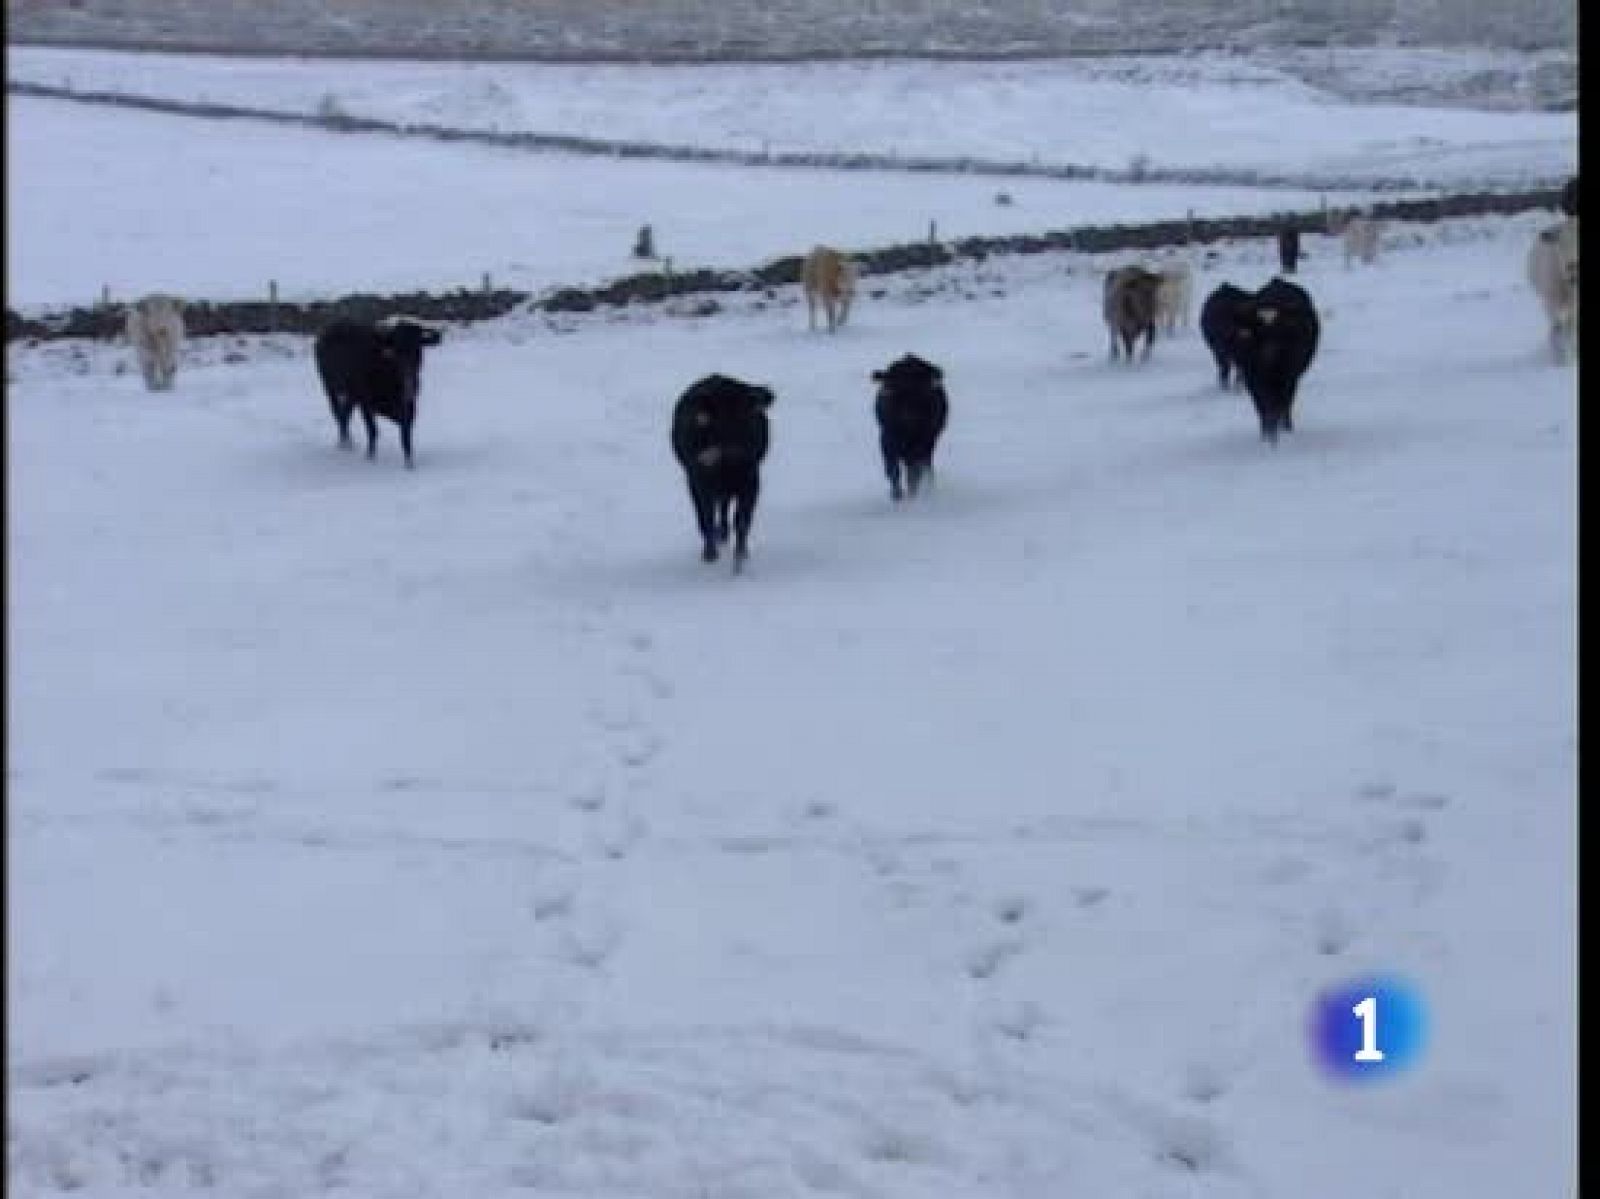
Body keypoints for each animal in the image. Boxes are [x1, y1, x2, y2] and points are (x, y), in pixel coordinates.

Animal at [313, 315, 444, 464]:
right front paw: (370, 457)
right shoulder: (366, 404)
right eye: (396, 349)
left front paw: (409, 463)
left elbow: (405, 435)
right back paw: (344, 443)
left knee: (345, 414)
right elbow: (373, 431)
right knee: (338, 414)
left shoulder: (409, 405)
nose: (409, 375)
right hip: (329, 387)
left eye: (418, 348)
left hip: (351, 395)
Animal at [668, 369, 774, 569]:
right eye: (719, 421)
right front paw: (710, 554)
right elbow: (705, 517)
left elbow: (742, 520)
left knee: (725, 505)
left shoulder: (751, 480)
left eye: (749, 418)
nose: (739, 452)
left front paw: (740, 558)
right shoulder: (697, 481)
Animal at [876, 350, 947, 499]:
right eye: (893, 390)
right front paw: (896, 495)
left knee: (924, 465)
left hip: (929, 444)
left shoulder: (921, 443)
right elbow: (892, 469)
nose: (908, 417)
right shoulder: (886, 440)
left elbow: (913, 472)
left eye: (922, 392)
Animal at [1228, 276, 1318, 445]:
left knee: (1285, 403)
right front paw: (1267, 434)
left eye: (1280, 330)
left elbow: (1281, 404)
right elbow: (1262, 407)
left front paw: (1279, 432)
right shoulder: (1252, 379)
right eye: (1257, 331)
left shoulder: (1288, 377)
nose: (1270, 353)